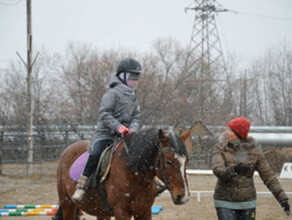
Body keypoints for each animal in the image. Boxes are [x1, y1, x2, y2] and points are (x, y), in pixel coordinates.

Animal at [54, 127, 192, 220]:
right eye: (169, 162)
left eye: (187, 161)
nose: (183, 197)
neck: (135, 176)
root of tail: (67, 150)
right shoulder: (121, 212)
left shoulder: (144, 211)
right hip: (68, 205)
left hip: (101, 212)